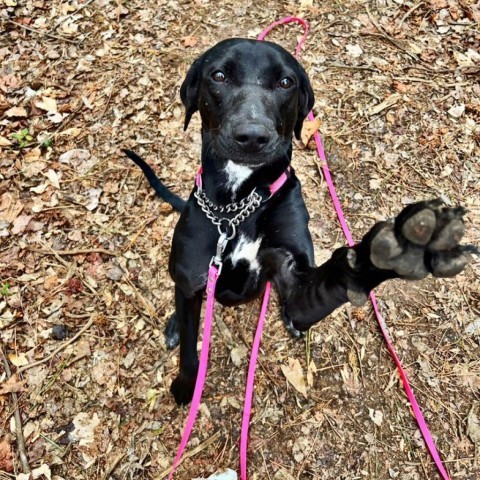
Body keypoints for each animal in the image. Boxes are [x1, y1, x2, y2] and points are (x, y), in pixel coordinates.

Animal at [122, 38, 470, 404]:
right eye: (218, 76)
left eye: (286, 82)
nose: (252, 136)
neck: (240, 206)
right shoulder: (192, 275)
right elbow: (190, 351)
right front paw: (184, 387)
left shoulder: (296, 277)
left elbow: (336, 276)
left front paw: (397, 246)